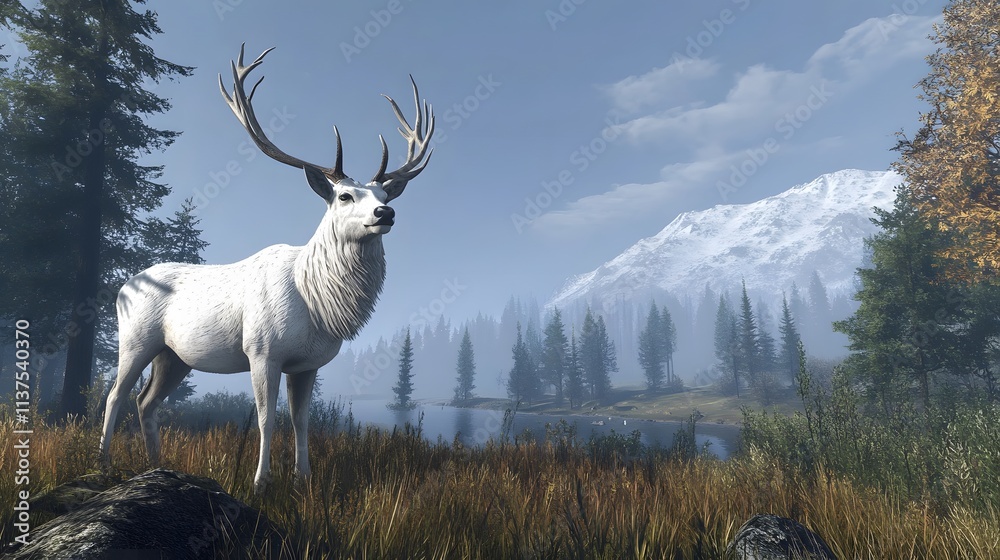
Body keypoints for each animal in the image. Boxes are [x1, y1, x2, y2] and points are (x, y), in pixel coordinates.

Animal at [99, 45, 434, 493]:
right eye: (344, 196)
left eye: (383, 194)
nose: (386, 213)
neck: (317, 302)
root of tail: (122, 287)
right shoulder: (261, 350)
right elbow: (265, 419)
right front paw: (261, 483)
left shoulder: (308, 364)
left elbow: (301, 422)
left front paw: (303, 479)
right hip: (136, 339)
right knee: (115, 395)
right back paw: (101, 463)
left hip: (175, 356)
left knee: (146, 401)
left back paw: (156, 465)